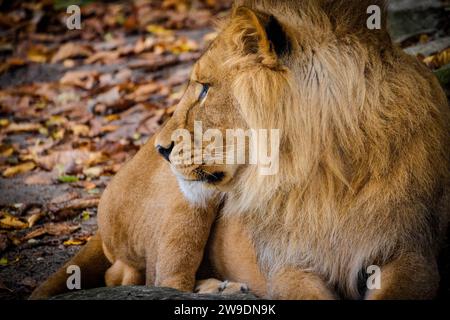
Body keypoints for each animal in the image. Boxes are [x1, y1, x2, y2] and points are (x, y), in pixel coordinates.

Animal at [30, 0, 446, 300]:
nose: (162, 148)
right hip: (185, 205)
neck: (328, 172)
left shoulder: (411, 251)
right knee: (146, 278)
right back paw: (220, 288)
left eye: (203, 88)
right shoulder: (286, 264)